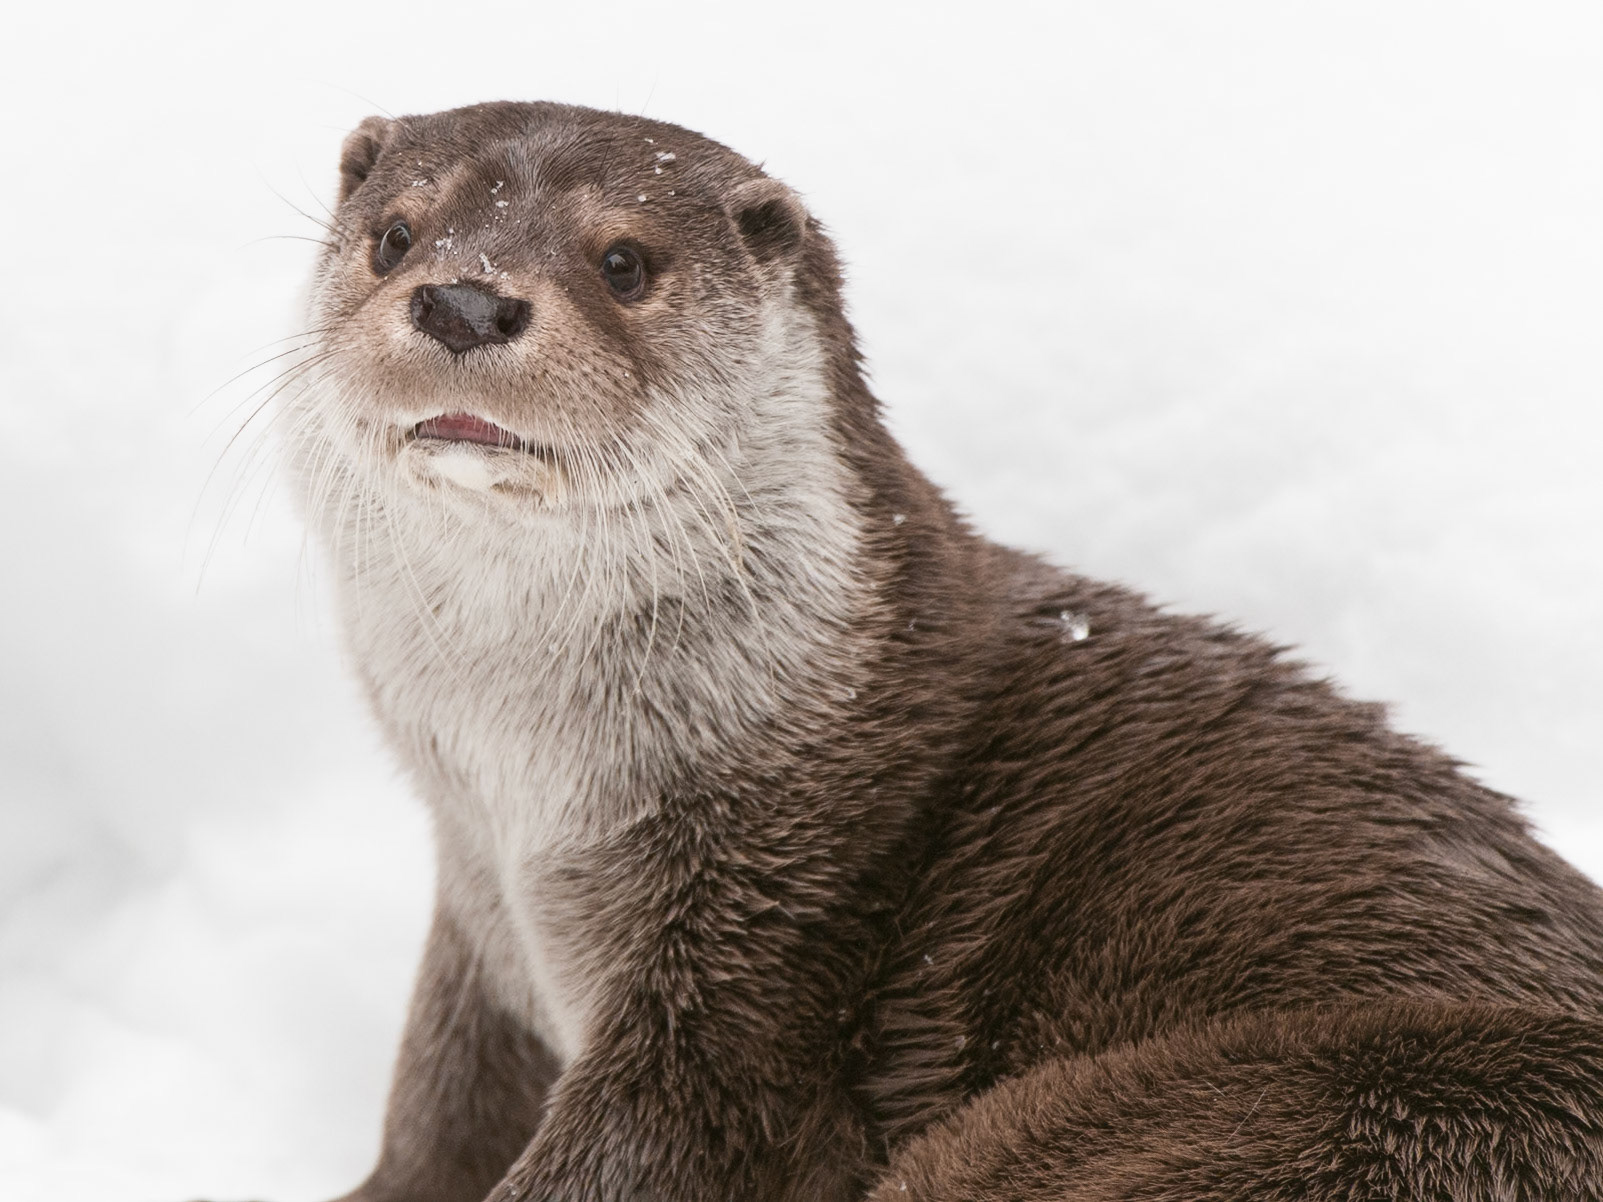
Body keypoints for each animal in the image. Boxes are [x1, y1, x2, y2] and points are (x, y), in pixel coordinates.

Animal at [282, 101, 1603, 1201]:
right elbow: (438, 1114)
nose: (464, 300)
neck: (538, 789)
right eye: (394, 234)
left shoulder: (767, 938)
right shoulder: (480, 919)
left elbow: (651, 1142)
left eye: (624, 261)